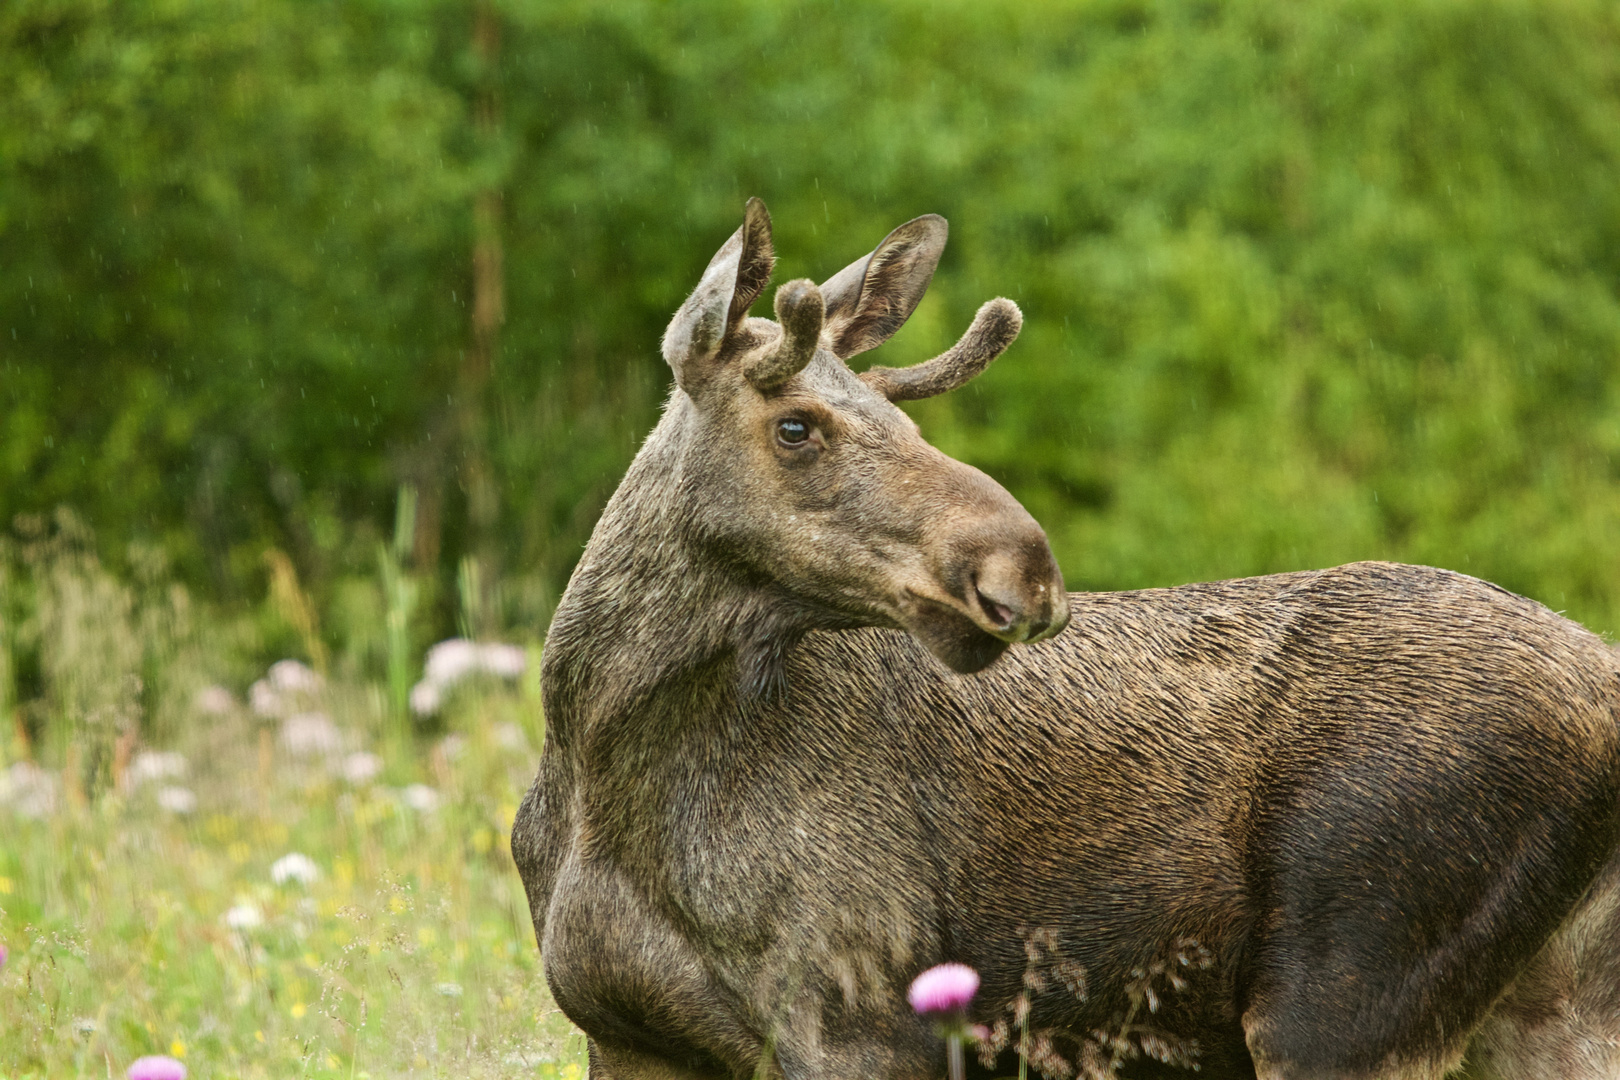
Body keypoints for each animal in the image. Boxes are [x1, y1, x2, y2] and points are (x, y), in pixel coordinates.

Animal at [511, 198, 1620, 1075]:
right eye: (795, 426)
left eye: (906, 423)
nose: (1024, 566)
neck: (606, 768)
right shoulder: (627, 1032)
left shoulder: (857, 1009)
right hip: (1551, 1002)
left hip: (1347, 985)